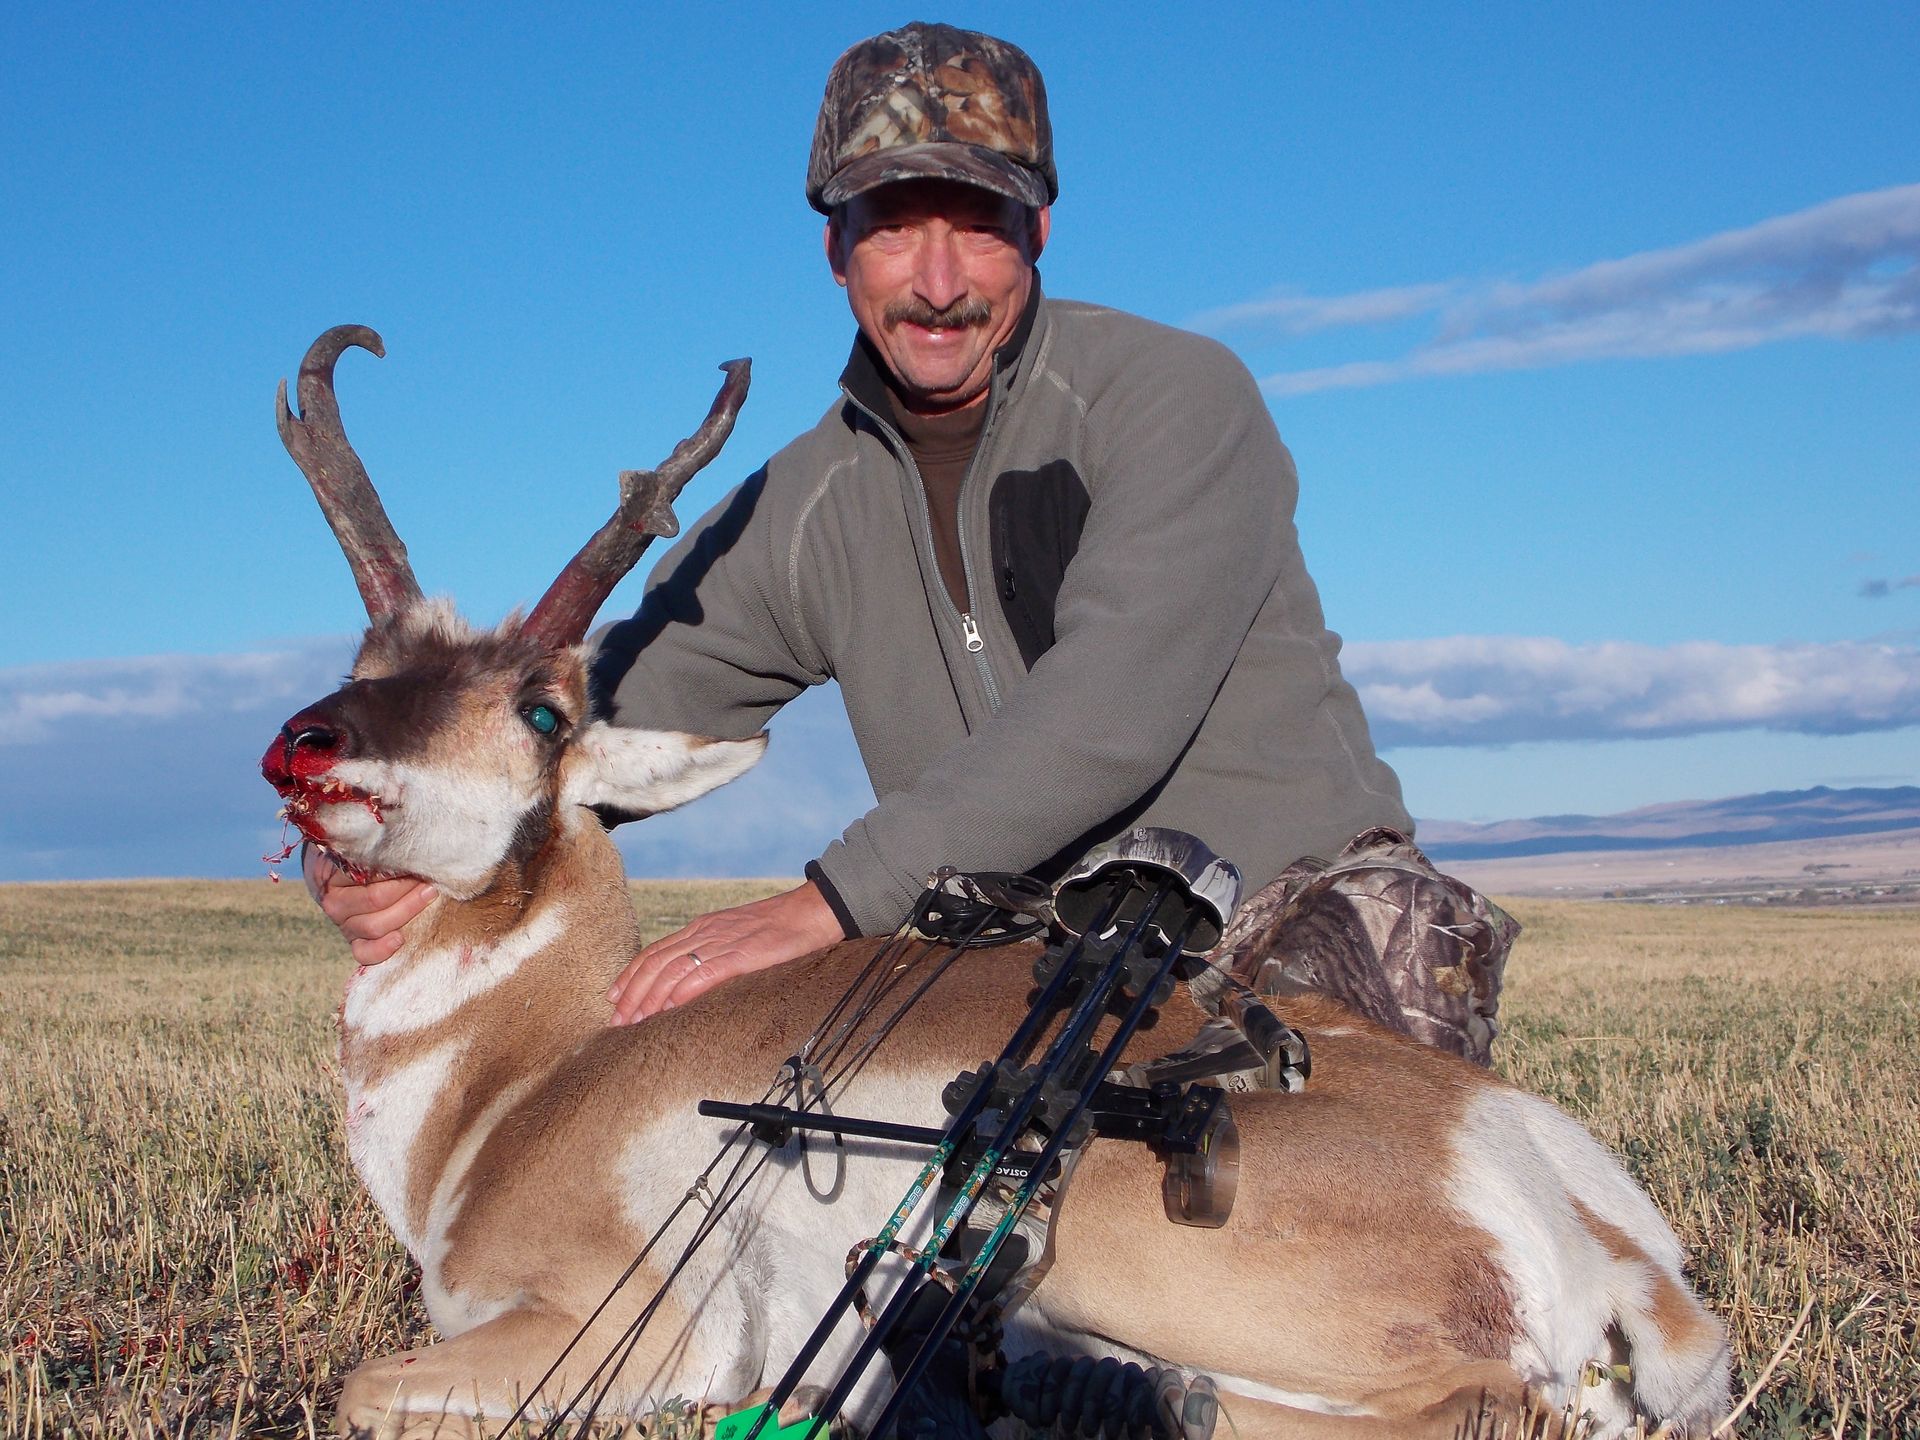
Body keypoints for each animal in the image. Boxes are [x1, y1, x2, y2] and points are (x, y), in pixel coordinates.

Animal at [263, 326, 1730, 1440]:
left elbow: (355, 1388)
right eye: (367, 660)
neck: (531, 1078)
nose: (307, 746)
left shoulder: (620, 1325)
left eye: (544, 713)